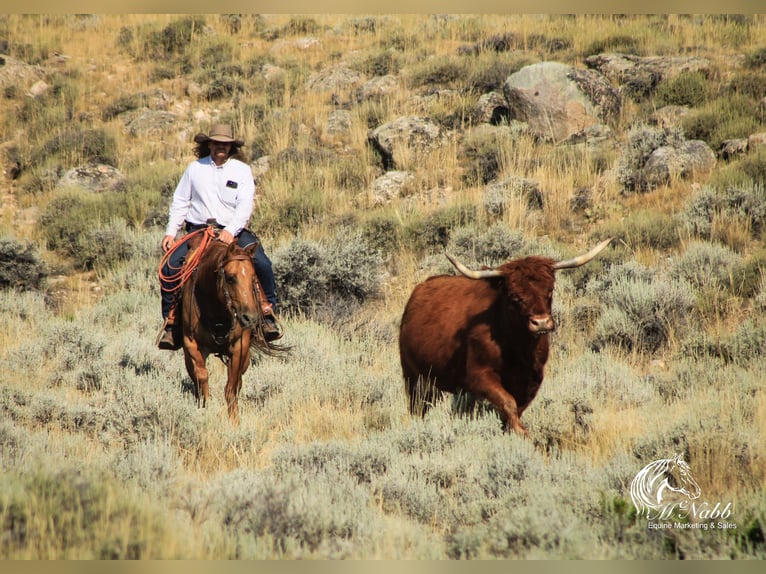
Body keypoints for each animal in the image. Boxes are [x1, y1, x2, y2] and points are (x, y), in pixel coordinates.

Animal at [178, 232, 284, 426]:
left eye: (254, 278)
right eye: (230, 277)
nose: (250, 318)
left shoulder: (239, 346)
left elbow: (231, 386)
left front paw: (234, 420)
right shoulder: (191, 344)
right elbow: (202, 377)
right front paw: (206, 408)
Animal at [400, 238, 616, 436]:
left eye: (550, 290)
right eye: (514, 296)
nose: (541, 322)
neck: (517, 349)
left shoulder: (533, 378)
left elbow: (517, 408)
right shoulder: (479, 375)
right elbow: (507, 402)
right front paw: (521, 432)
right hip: (414, 378)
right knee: (418, 407)